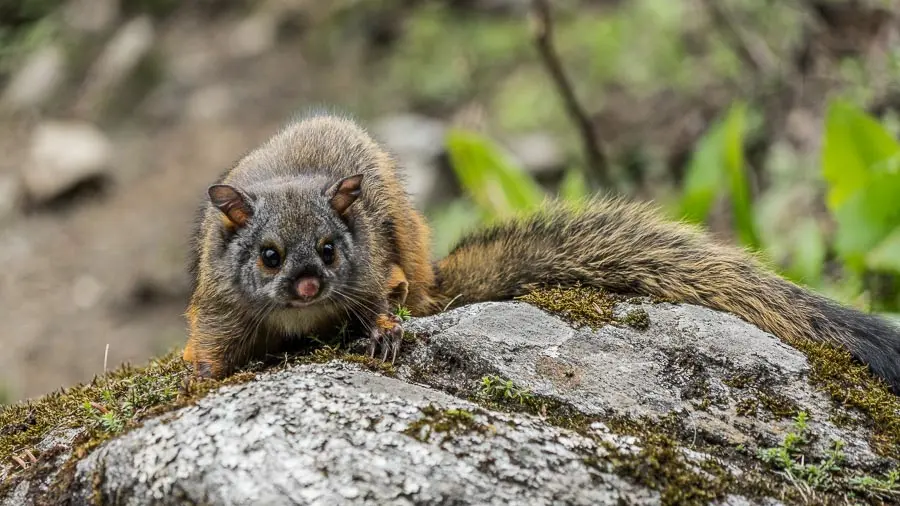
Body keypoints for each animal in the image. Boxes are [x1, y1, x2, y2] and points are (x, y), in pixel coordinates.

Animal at [183, 113, 900, 392]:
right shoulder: (221, 298)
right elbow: (214, 336)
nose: (308, 286)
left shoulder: (366, 269)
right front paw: (199, 368)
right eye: (268, 256)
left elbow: (375, 299)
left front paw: (383, 331)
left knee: (418, 288)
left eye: (330, 249)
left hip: (406, 237)